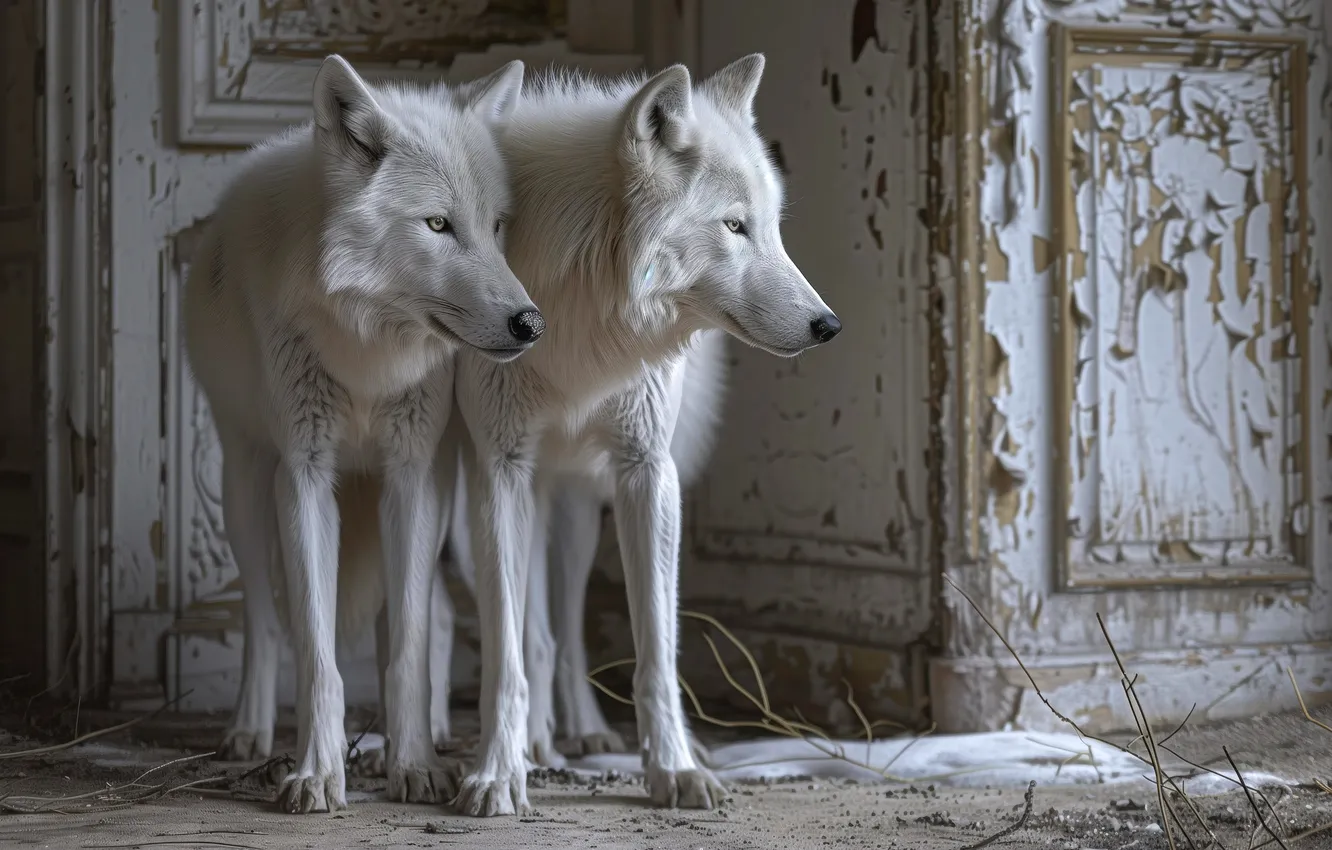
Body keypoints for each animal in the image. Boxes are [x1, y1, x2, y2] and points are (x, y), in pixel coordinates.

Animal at [181, 54, 537, 814]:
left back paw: (426, 734)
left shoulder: (412, 472)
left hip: (448, 498)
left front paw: (415, 764)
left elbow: (406, 647)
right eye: (438, 224)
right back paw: (251, 733)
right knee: (263, 620)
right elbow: (317, 654)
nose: (531, 323)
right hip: (246, 489)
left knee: (435, 616)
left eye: (496, 226)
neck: (369, 352)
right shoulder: (305, 476)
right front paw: (316, 773)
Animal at [448, 54, 842, 817]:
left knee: (563, 628)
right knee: (523, 629)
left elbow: (656, 649)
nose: (828, 326)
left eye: (773, 227)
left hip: (577, 507)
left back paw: (578, 733)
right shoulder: (498, 468)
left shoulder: (646, 471)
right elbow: (506, 654)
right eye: (735, 226)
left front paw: (675, 769)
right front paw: (495, 775)